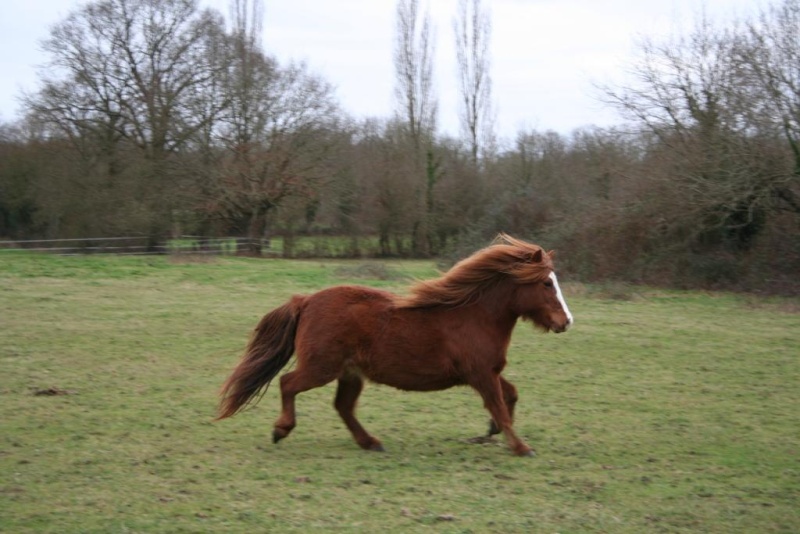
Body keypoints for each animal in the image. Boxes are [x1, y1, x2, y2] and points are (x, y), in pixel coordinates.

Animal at [216, 233, 572, 456]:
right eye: (546, 283)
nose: (566, 321)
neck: (475, 316)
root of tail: (305, 301)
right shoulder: (481, 375)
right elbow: (500, 405)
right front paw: (522, 447)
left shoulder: (488, 372)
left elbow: (510, 397)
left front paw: (492, 430)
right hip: (321, 368)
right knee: (288, 383)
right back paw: (281, 430)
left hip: (349, 373)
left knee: (343, 407)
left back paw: (371, 442)